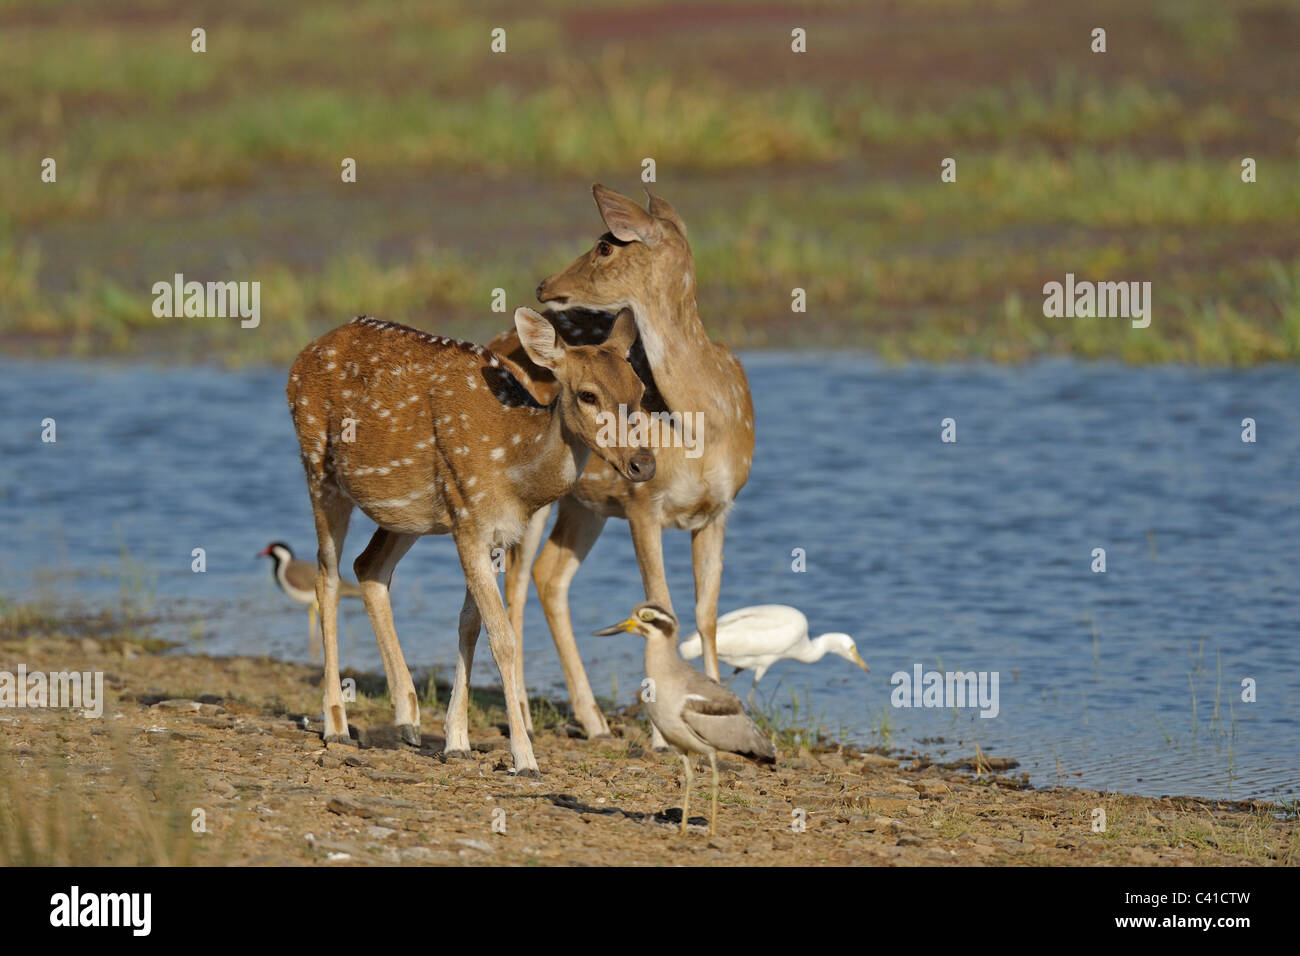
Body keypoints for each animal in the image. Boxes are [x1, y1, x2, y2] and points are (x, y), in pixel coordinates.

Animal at [285, 306, 652, 776]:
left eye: (640, 390)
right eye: (588, 395)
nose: (643, 463)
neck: (513, 464)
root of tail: (303, 357)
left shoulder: (494, 533)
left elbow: (470, 624)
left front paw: (456, 741)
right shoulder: (469, 518)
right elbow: (502, 637)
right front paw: (524, 758)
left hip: (407, 514)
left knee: (368, 567)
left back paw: (408, 718)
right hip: (319, 469)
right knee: (326, 578)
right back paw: (336, 725)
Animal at [488, 185, 755, 748]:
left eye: (605, 246)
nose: (545, 284)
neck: (704, 428)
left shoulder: (719, 509)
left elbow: (708, 612)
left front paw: (719, 707)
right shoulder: (642, 503)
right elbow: (660, 598)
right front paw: (660, 735)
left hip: (585, 505)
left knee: (548, 576)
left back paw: (593, 721)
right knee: (517, 582)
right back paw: (525, 714)